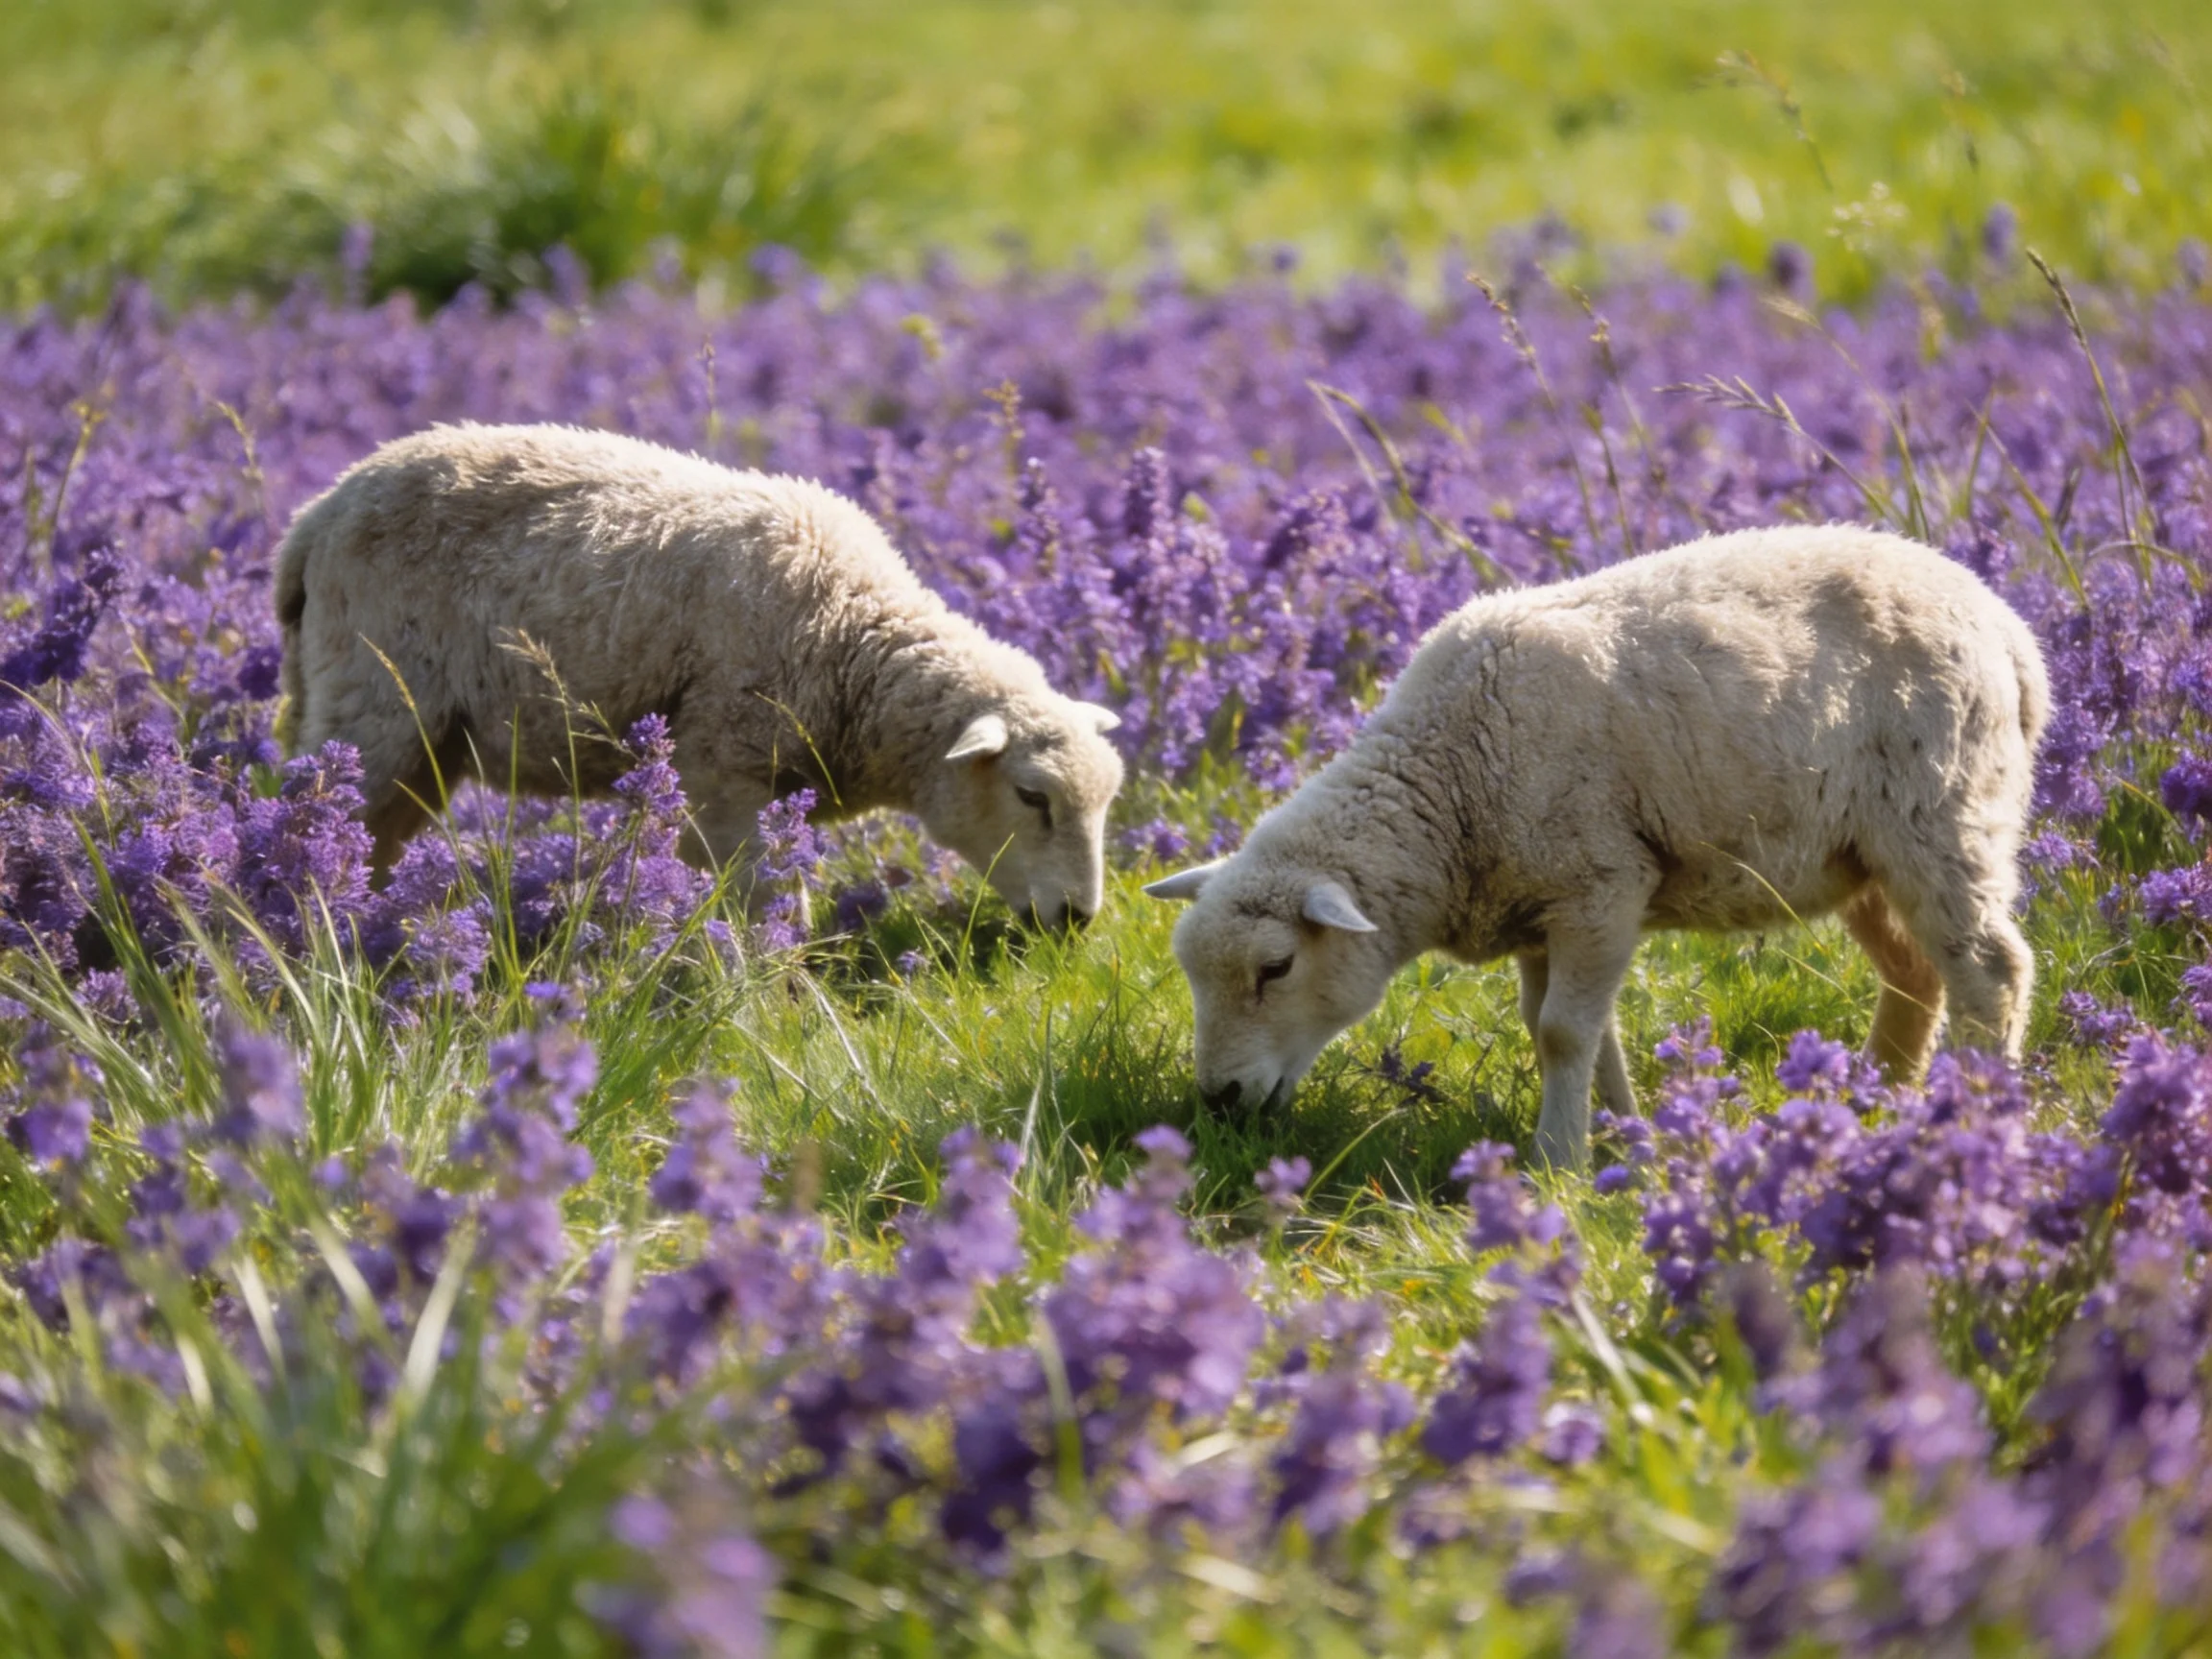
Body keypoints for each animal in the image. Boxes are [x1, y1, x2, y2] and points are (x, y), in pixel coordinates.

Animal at [275, 422, 1126, 927]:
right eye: (1032, 797)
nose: (1079, 920)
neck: (854, 638)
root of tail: (314, 516)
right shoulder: (723, 769)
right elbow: (759, 902)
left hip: (418, 737)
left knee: (371, 842)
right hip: (374, 702)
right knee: (316, 824)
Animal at [1145, 525, 2049, 1172]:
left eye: (1276, 968)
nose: (1219, 1099)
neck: (1450, 787)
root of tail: (2010, 631)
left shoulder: (1600, 882)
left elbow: (1561, 1033)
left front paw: (1560, 1161)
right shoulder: (1540, 905)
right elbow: (1571, 1027)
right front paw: (1622, 1139)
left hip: (1943, 814)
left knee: (1991, 971)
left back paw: (1975, 1115)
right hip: (1858, 854)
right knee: (1915, 974)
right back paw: (1874, 1103)